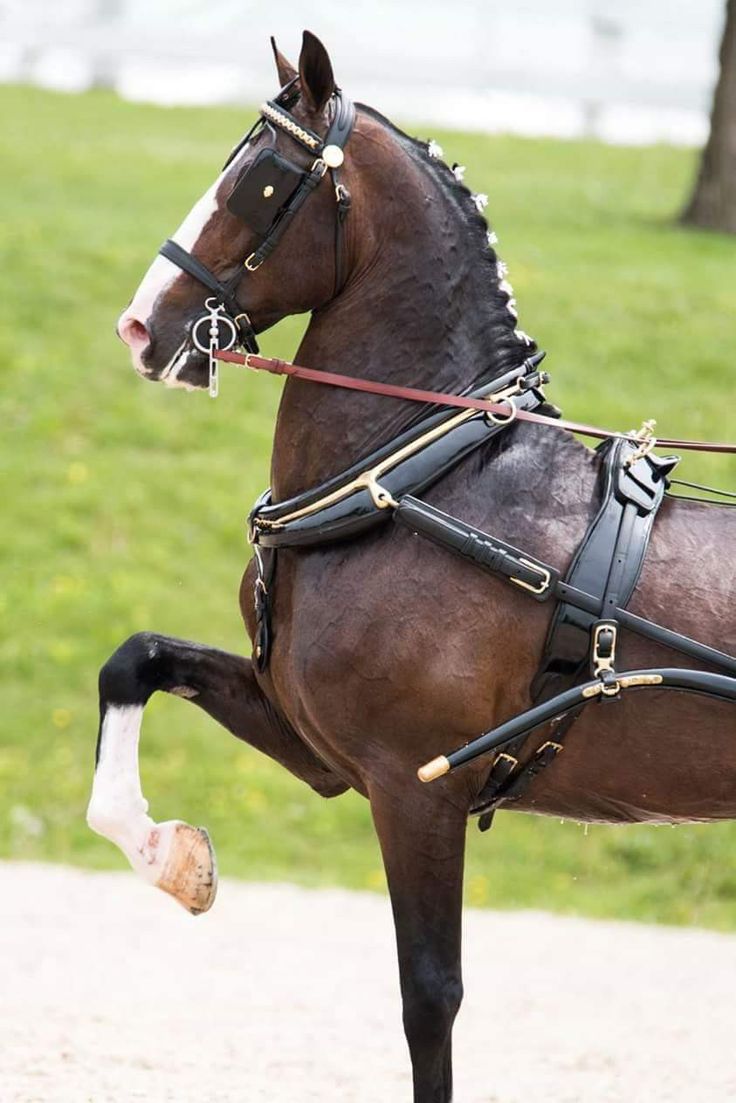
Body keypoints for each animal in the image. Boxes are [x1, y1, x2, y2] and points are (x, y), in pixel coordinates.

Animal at [87, 30, 736, 1098]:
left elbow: (429, 999)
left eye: (261, 181)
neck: (421, 480)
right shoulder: (316, 743)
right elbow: (134, 659)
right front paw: (171, 855)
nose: (142, 327)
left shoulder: (416, 786)